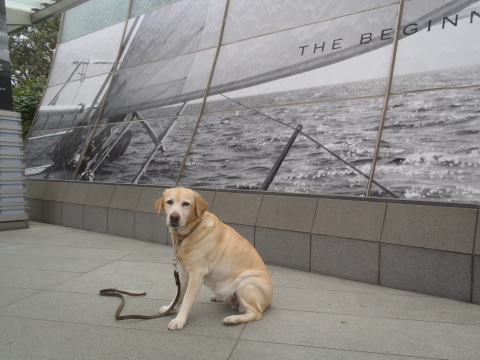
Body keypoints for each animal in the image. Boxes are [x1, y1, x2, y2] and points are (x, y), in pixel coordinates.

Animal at [156, 187, 272, 330]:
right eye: (169, 202)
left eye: (186, 204)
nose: (174, 217)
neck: (190, 232)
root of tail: (269, 301)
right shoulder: (183, 273)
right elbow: (178, 294)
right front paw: (170, 308)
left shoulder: (196, 274)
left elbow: (187, 299)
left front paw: (179, 320)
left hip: (246, 283)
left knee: (255, 313)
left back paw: (232, 319)